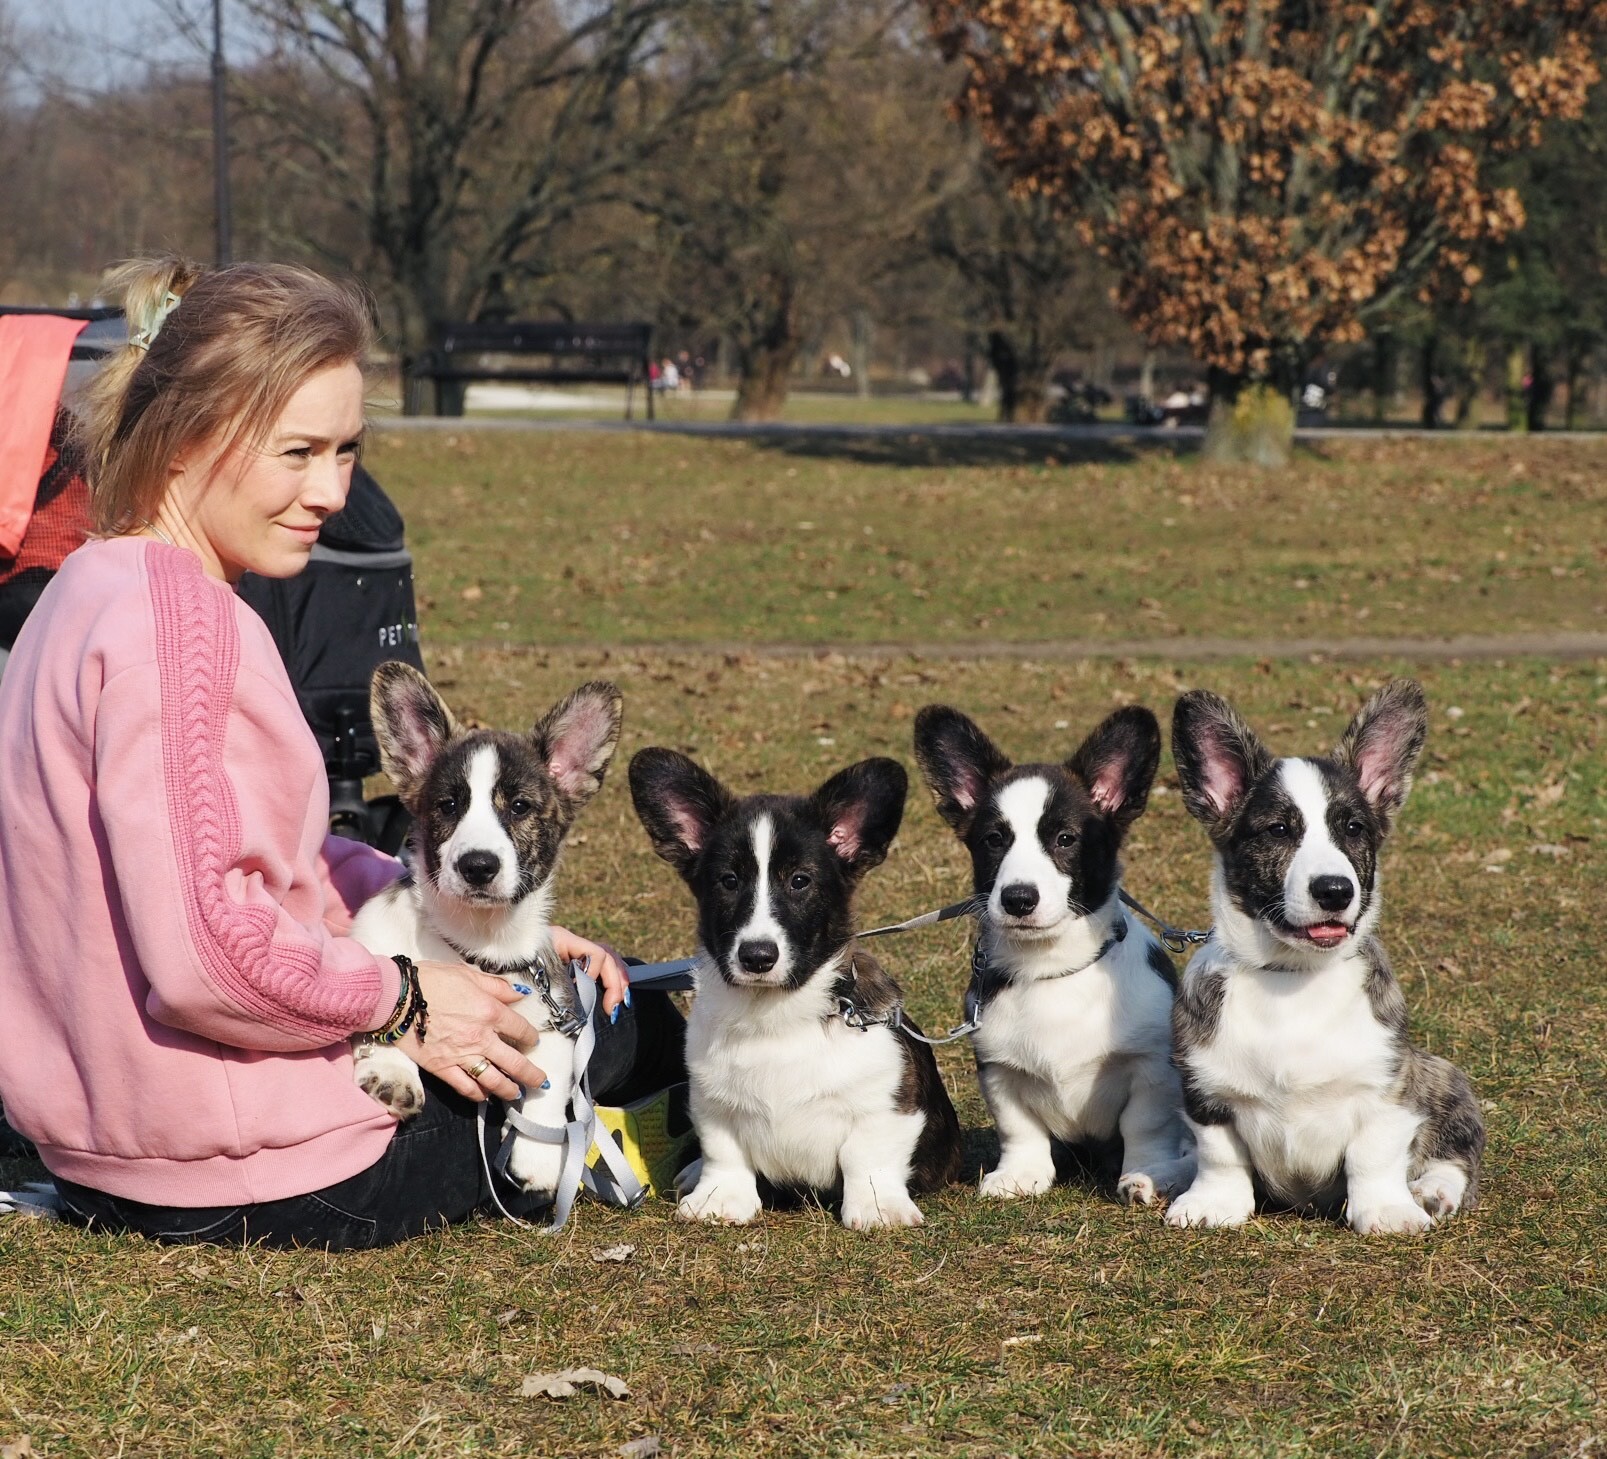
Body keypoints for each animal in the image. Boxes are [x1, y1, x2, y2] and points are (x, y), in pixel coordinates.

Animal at [348, 662, 623, 1200]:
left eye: (518, 807)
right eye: (448, 805)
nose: (477, 866)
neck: (478, 940)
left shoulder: (558, 1014)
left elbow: (547, 1082)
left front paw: (540, 1157)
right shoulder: (369, 944)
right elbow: (387, 1002)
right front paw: (391, 1073)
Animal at [628, 749, 962, 1229]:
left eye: (800, 881)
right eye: (728, 881)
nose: (757, 956)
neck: (776, 1012)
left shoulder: (886, 1104)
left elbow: (868, 1156)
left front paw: (878, 1208)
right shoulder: (714, 1105)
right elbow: (723, 1151)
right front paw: (719, 1199)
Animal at [913, 704, 1193, 1205]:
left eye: (1065, 839)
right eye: (993, 840)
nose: (1018, 899)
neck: (1052, 967)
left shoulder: (1150, 1069)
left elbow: (1145, 1126)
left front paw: (1144, 1172)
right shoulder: (999, 1070)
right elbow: (1018, 1128)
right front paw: (1020, 1175)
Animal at [1166, 679, 1485, 1234]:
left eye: (1353, 829)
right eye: (1277, 830)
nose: (1335, 890)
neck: (1293, 975)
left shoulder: (1389, 1085)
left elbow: (1374, 1153)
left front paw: (1386, 1210)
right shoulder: (1206, 1091)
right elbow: (1219, 1153)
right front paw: (1213, 1204)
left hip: (1443, 1075)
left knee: (1455, 1156)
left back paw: (1431, 1191)